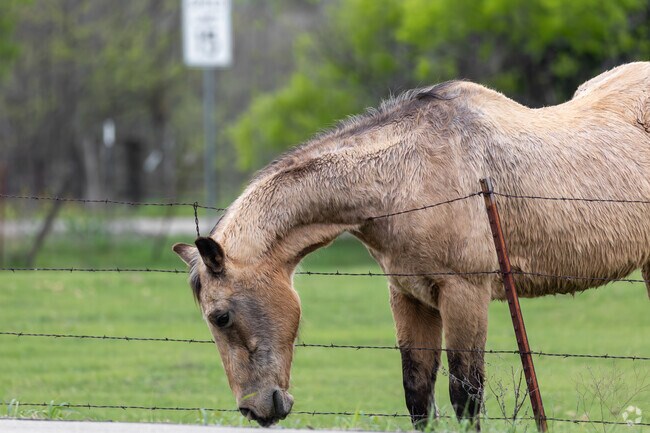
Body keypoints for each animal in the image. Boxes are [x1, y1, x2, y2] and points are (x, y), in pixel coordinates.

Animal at [173, 62, 650, 429]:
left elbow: (466, 398)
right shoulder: (409, 296)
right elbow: (418, 395)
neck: (407, 176)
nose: (256, 408)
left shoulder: (465, 295)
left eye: (220, 316)